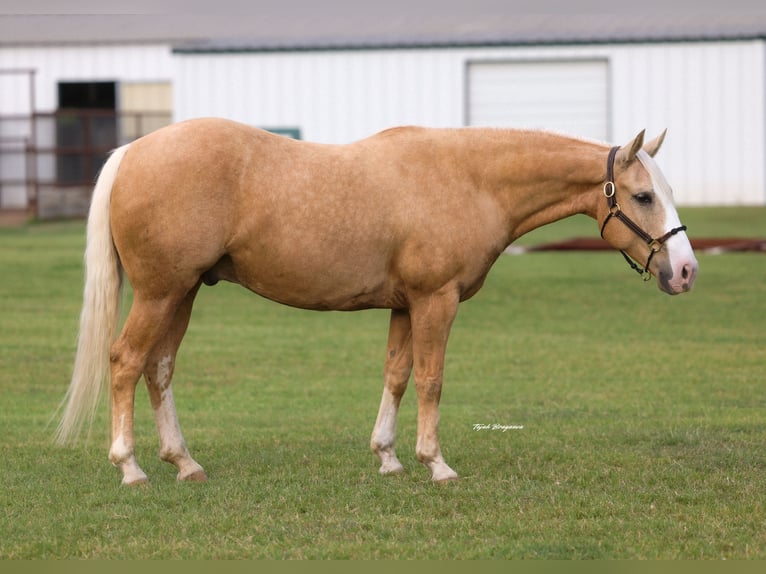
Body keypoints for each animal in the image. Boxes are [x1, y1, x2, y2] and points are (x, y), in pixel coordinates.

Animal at [54, 118, 698, 485]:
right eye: (643, 196)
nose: (686, 270)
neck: (469, 178)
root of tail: (132, 151)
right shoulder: (436, 301)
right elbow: (431, 379)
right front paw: (436, 465)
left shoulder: (405, 305)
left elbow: (396, 375)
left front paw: (387, 458)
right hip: (160, 293)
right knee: (126, 363)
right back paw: (131, 468)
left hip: (181, 293)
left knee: (159, 369)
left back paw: (184, 463)